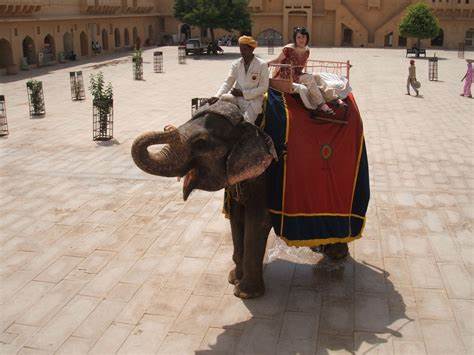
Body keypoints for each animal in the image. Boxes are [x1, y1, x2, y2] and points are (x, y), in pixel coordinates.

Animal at [132, 101, 348, 300]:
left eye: (201, 143)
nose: (167, 127)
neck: (248, 125)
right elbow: (237, 218)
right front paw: (233, 278)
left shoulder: (266, 171)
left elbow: (258, 221)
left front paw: (244, 294)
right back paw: (320, 248)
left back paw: (336, 254)